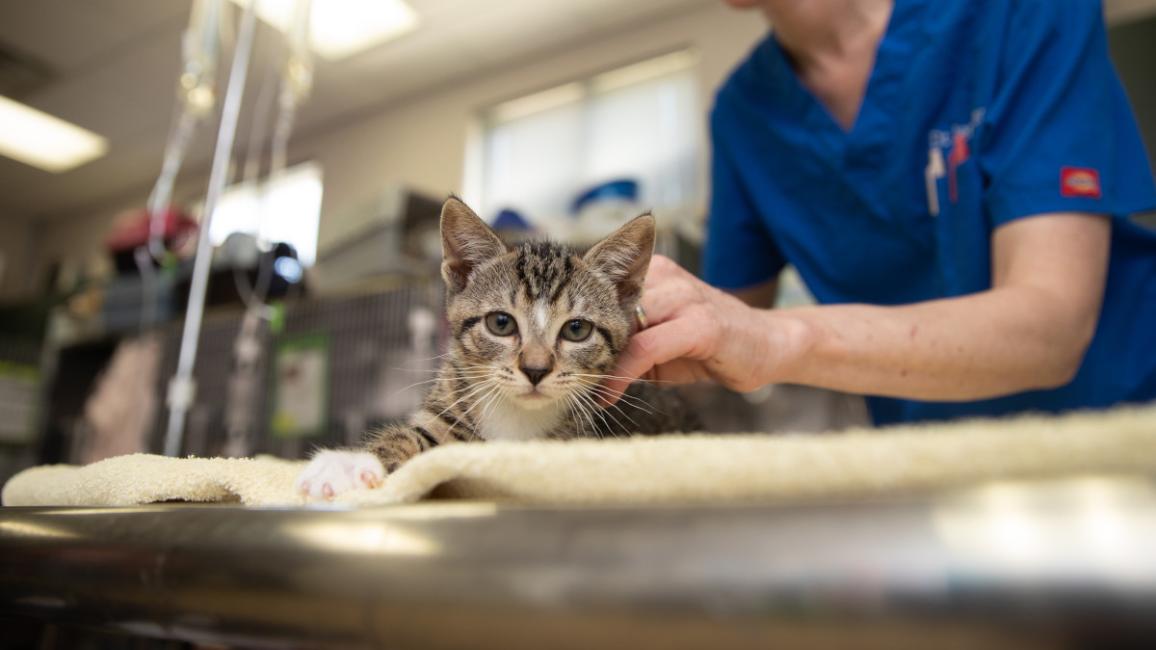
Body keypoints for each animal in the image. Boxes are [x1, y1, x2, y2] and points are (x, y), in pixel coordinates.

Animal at [298, 196, 693, 495]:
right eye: (500, 323)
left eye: (577, 329)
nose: (535, 369)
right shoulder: (447, 406)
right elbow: (411, 436)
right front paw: (346, 464)